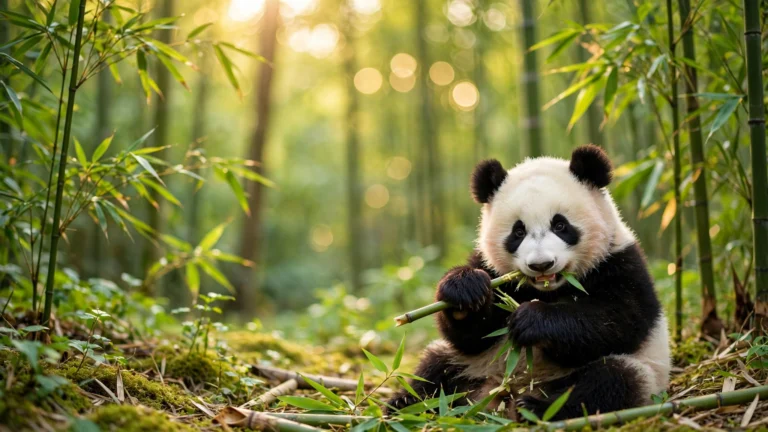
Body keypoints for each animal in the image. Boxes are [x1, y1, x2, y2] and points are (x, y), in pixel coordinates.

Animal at [387, 145, 671, 421]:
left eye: (560, 225)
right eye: (518, 231)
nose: (541, 264)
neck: (547, 290)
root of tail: (503, 393)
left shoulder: (620, 263)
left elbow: (617, 320)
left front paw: (531, 319)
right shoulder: (491, 268)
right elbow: (470, 336)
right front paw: (464, 290)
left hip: (638, 373)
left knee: (610, 381)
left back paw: (536, 408)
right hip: (472, 365)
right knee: (435, 369)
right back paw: (404, 404)